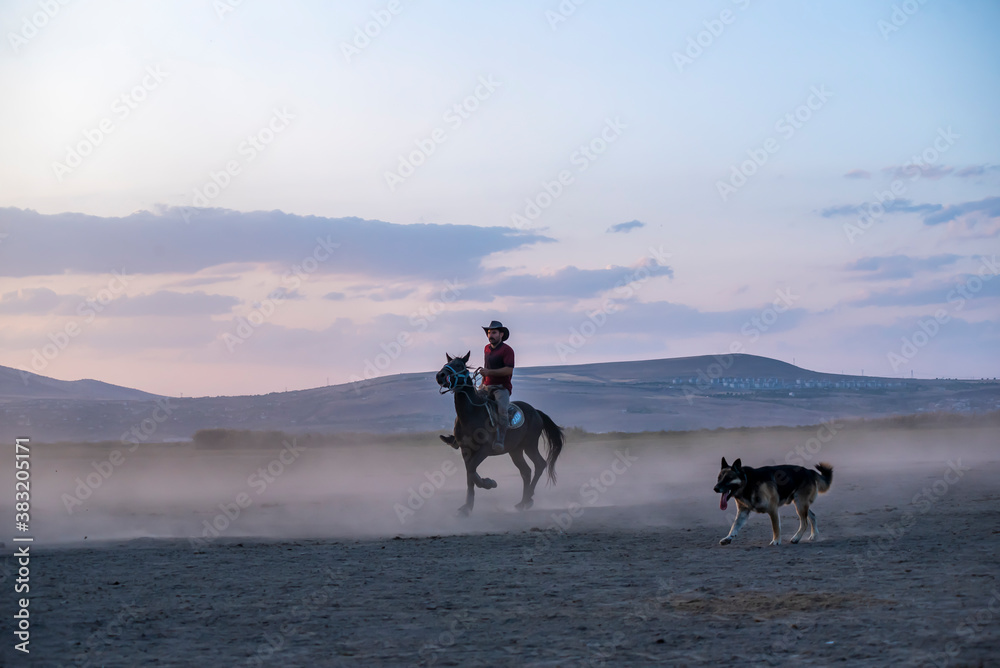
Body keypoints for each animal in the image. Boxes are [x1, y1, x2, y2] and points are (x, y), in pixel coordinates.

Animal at [436, 350, 568, 516]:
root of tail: (536, 412)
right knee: (526, 471)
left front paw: (489, 483)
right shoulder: (466, 450)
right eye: (446, 363)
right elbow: (469, 474)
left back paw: (527, 499)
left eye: (459, 365)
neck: (471, 414)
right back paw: (522, 502)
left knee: (540, 464)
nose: (440, 376)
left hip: (530, 445)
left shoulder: (484, 449)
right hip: (515, 450)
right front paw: (467, 506)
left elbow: (472, 470)